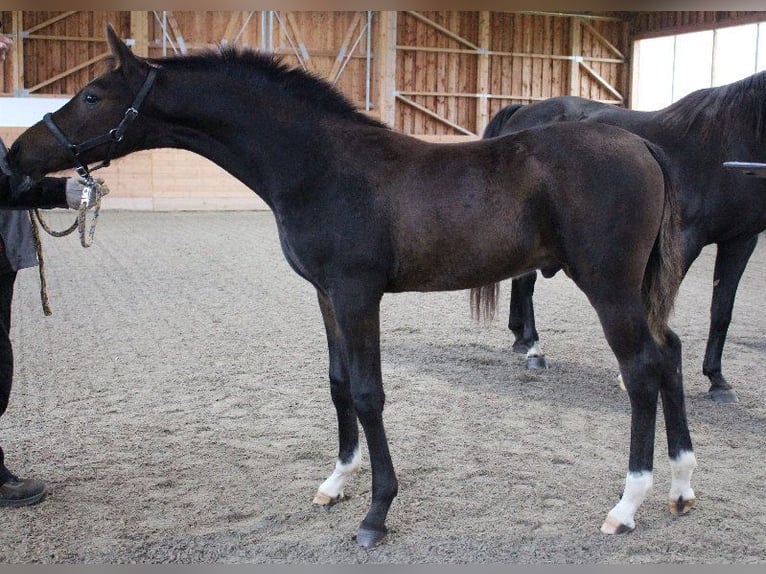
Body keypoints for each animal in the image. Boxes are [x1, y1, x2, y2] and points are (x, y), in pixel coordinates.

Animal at [7, 25, 704, 548]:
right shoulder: (325, 295)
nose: (17, 157)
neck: (320, 166)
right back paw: (681, 487)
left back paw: (628, 504)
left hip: (609, 287)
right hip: (636, 292)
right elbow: (339, 384)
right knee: (669, 357)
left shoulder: (355, 293)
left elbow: (369, 394)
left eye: (92, 94)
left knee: (642, 371)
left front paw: (376, 514)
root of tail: (641, 146)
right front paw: (335, 484)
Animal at [486, 76, 766, 404]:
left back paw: (520, 338)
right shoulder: (685, 240)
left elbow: (722, 312)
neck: (727, 140)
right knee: (526, 283)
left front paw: (718, 380)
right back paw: (533, 348)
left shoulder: (741, 240)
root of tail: (522, 112)